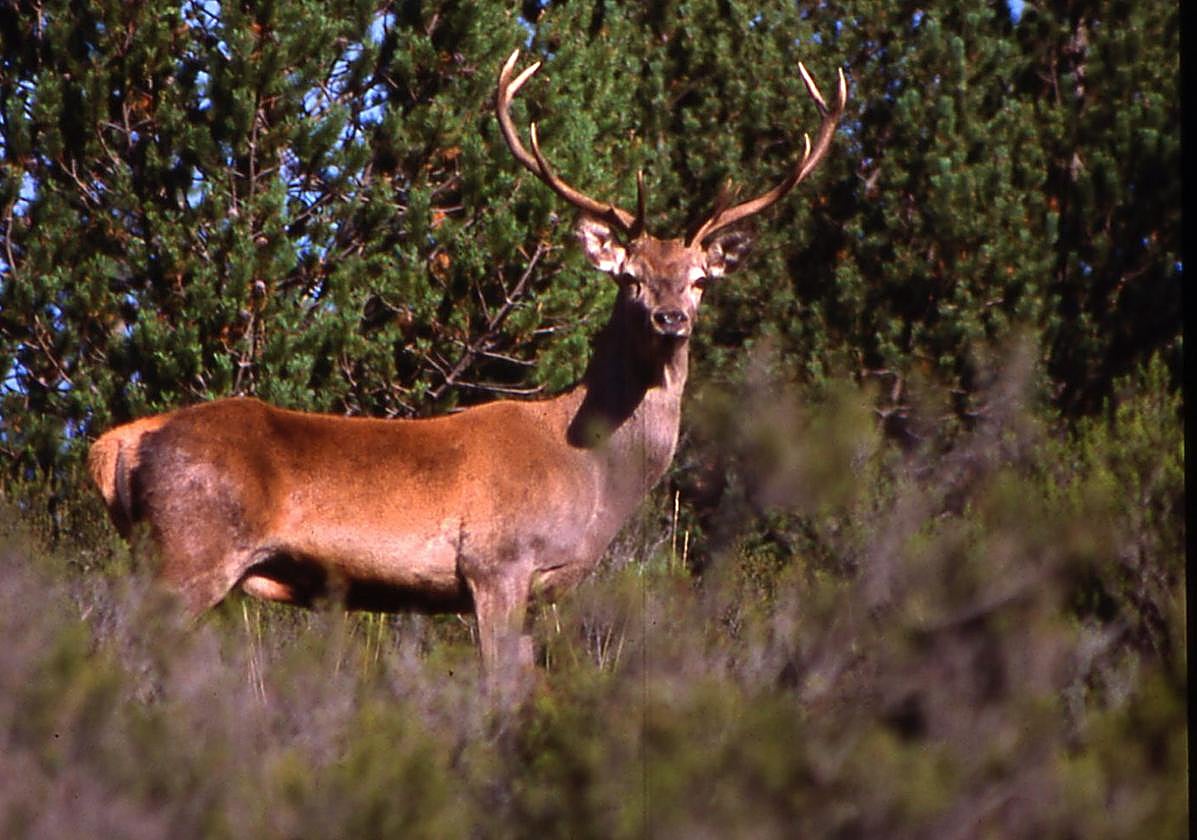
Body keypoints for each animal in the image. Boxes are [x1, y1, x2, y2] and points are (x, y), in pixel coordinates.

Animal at [88, 50, 847, 692]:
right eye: (629, 277)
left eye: (697, 281)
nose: (669, 319)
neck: (591, 476)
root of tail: (122, 443)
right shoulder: (495, 561)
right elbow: (499, 693)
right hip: (190, 546)